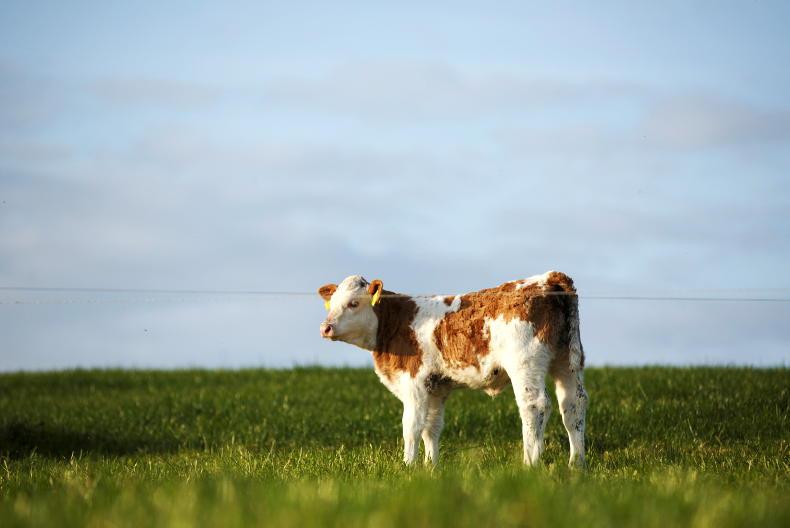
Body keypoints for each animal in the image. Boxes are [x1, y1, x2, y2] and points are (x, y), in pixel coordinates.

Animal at [317, 271, 588, 467]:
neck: (395, 322)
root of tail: (549, 277)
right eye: (332, 304)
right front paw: (431, 467)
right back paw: (576, 464)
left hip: (525, 363)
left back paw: (530, 464)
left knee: (535, 406)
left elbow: (411, 427)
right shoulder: (436, 388)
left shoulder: (414, 383)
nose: (325, 327)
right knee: (573, 406)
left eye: (353, 303)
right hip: (567, 361)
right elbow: (431, 428)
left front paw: (407, 466)